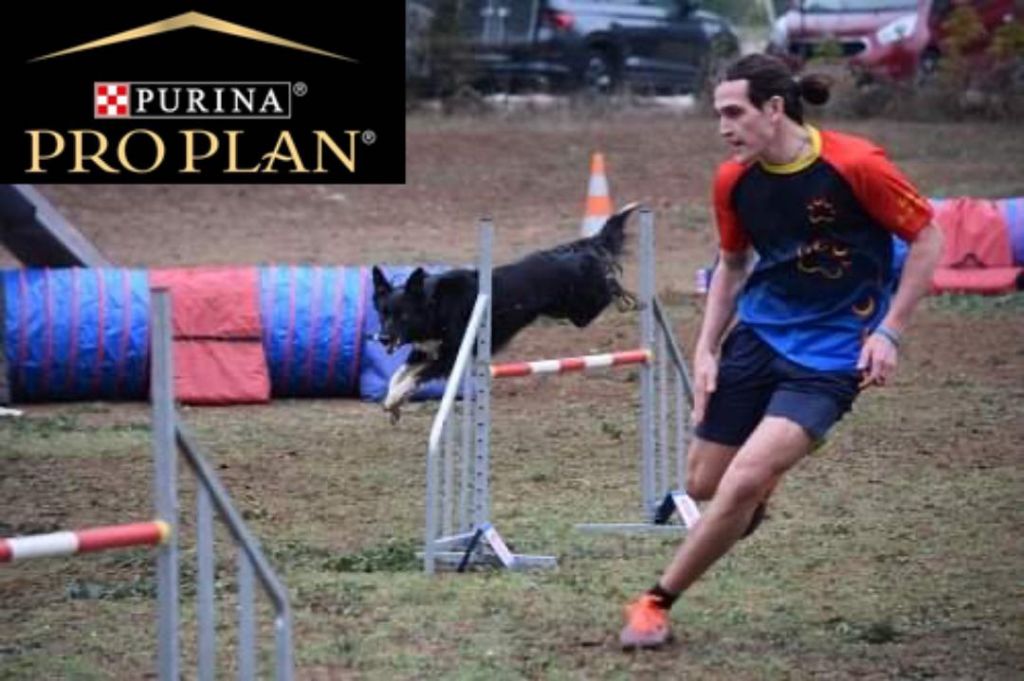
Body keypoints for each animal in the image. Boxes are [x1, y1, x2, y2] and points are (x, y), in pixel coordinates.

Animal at [372, 202, 634, 419]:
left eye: (403, 315)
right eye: (383, 314)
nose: (382, 338)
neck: (436, 304)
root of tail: (579, 253)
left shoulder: (451, 356)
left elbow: (416, 375)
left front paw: (396, 397)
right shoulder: (425, 350)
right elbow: (398, 374)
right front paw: (393, 401)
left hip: (583, 310)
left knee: (610, 286)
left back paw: (625, 294)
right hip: (567, 311)